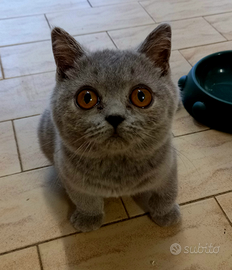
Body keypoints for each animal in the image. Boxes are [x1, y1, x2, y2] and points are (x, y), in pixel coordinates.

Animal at [38, 24, 180, 232]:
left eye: (141, 96)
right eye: (86, 98)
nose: (115, 117)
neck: (117, 169)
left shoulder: (169, 164)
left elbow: (167, 192)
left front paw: (166, 215)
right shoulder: (69, 176)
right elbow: (86, 200)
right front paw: (88, 219)